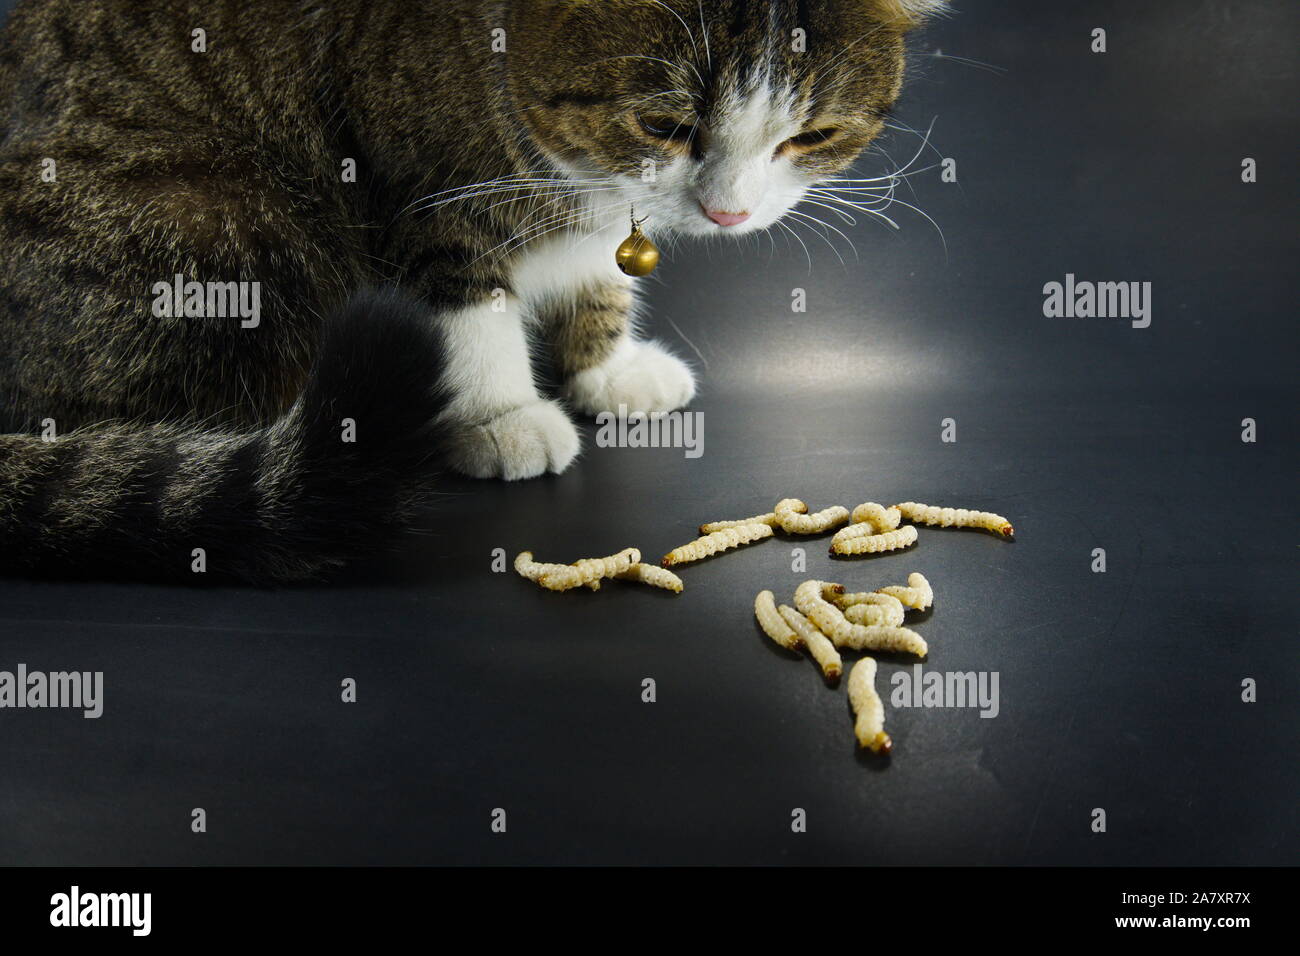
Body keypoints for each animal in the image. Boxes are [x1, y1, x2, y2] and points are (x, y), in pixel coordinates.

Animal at [0, 1, 941, 582]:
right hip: (220, 222)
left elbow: (599, 267)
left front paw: (607, 367)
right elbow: (463, 298)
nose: (729, 210)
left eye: (812, 136)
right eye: (663, 125)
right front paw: (501, 416)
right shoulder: (425, 189)